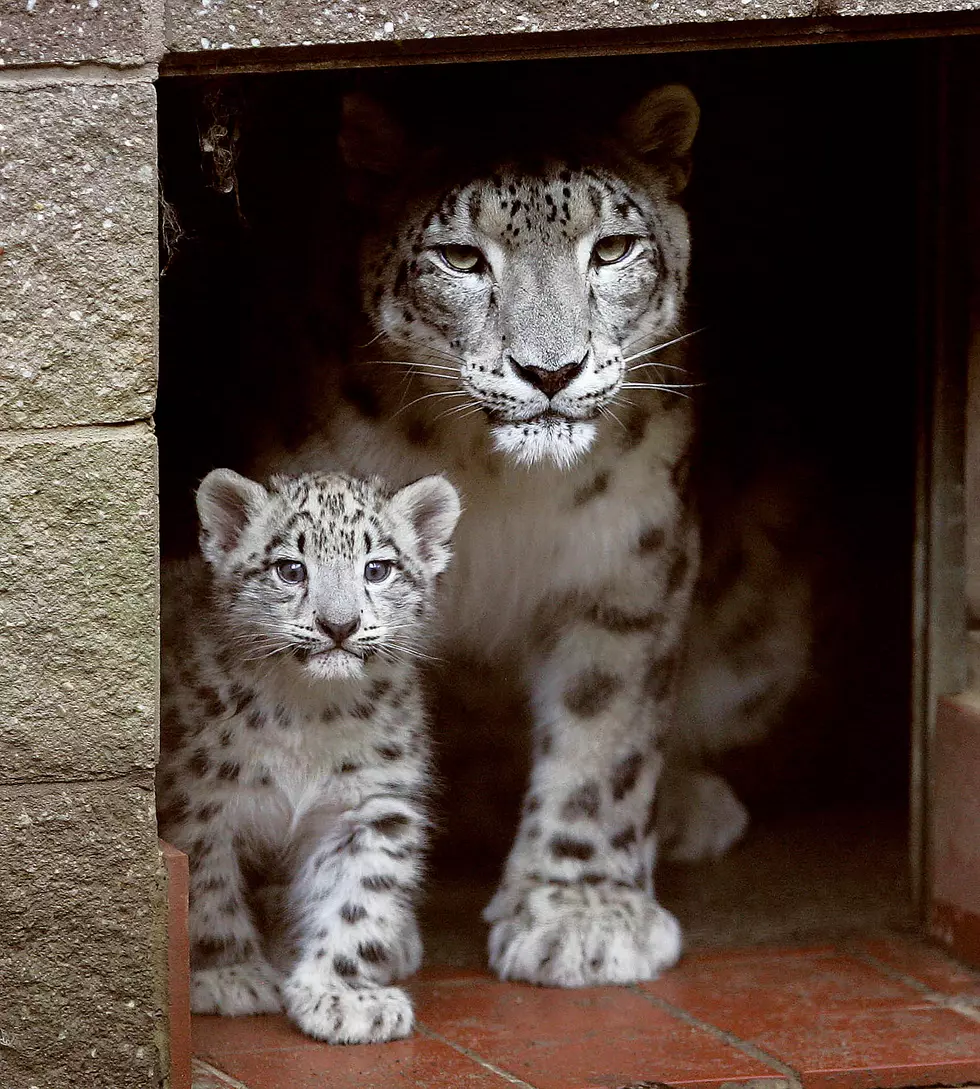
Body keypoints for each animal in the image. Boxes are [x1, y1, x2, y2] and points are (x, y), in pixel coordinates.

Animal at [157, 466, 463, 1036]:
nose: (338, 625)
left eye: (377, 568)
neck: (307, 710)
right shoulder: (200, 800)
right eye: (290, 569)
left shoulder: (370, 805)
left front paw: (340, 997)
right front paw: (230, 974)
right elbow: (207, 888)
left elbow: (358, 898)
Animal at [252, 84, 805, 988]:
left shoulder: (625, 571)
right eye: (461, 257)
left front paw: (580, 915)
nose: (551, 371)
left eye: (612, 248)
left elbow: (603, 741)